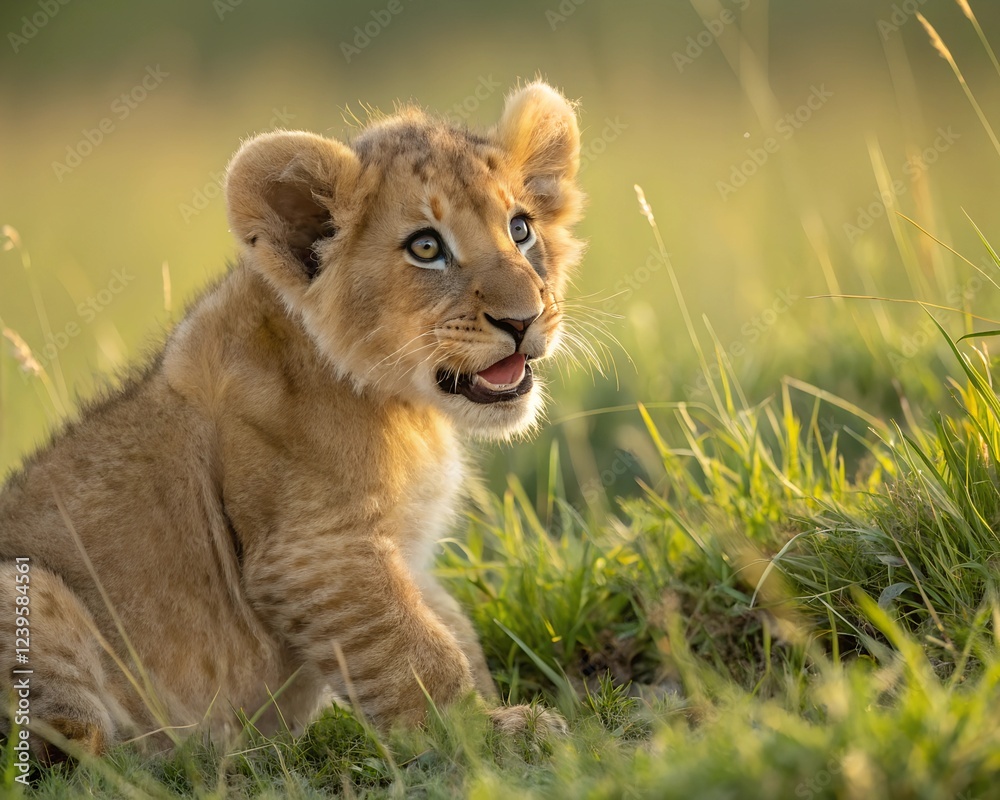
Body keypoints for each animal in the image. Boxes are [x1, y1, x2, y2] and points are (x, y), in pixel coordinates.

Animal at [0, 80, 583, 759]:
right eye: (426, 247)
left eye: (521, 229)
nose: (524, 319)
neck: (408, 409)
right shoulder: (310, 552)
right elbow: (413, 649)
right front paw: (489, 732)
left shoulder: (399, 549)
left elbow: (450, 622)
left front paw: (491, 708)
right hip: (33, 592)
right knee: (75, 752)